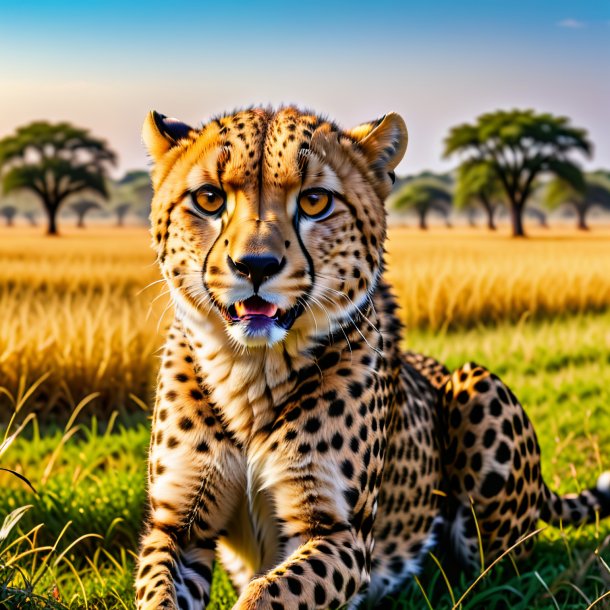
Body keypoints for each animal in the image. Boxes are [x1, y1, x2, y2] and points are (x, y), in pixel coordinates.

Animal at [134, 107, 608, 604]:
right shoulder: (176, 528)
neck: (251, 371)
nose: (256, 265)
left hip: (477, 388)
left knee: (499, 569)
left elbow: (271, 593)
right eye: (209, 198)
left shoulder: (339, 533)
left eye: (315, 201)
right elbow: (158, 594)